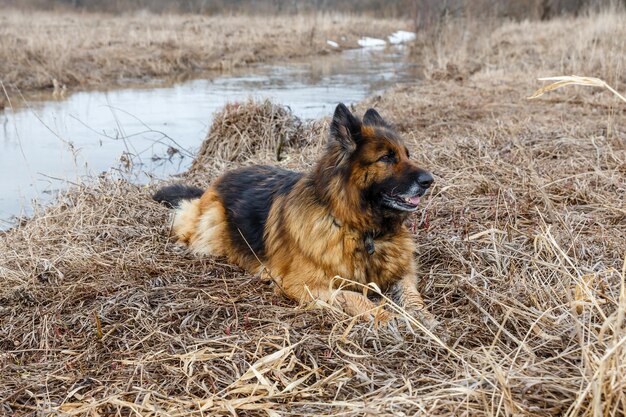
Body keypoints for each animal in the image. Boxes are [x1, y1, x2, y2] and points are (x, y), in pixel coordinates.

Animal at [154, 103, 432, 322]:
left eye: (407, 154)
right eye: (386, 158)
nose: (429, 180)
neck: (359, 228)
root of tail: (223, 175)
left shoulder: (403, 271)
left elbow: (411, 292)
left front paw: (422, 315)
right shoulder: (303, 285)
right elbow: (354, 296)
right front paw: (385, 316)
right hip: (211, 228)